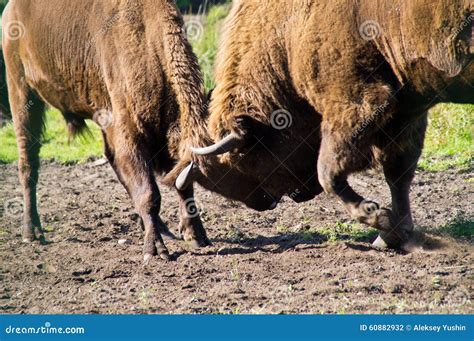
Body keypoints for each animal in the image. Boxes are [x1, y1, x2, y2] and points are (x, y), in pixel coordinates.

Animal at [3, 0, 276, 260]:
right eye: (239, 162)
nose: (270, 200)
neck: (148, 43)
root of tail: (10, 11)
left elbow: (179, 186)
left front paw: (196, 236)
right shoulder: (128, 133)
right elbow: (150, 193)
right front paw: (155, 250)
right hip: (21, 90)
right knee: (28, 162)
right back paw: (31, 232)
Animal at [175, 0, 474, 248]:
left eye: (247, 158)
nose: (268, 203)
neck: (287, 34)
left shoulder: (355, 102)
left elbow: (329, 171)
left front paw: (378, 218)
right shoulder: (406, 113)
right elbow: (398, 174)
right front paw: (391, 235)